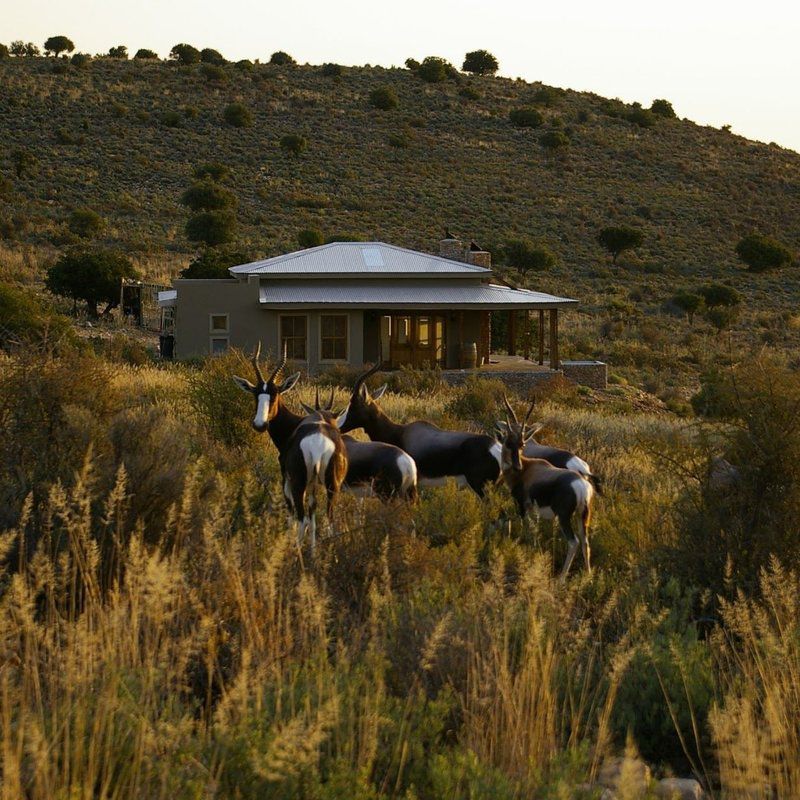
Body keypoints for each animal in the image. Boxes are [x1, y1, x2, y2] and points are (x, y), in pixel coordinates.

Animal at [500, 400, 592, 580]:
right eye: (509, 442)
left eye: (521, 444)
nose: (517, 466)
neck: (528, 467)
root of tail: (580, 483)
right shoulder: (532, 509)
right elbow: (534, 529)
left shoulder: (521, 505)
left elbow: (527, 528)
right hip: (582, 515)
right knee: (585, 542)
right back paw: (588, 576)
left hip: (564, 516)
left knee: (574, 542)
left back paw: (561, 578)